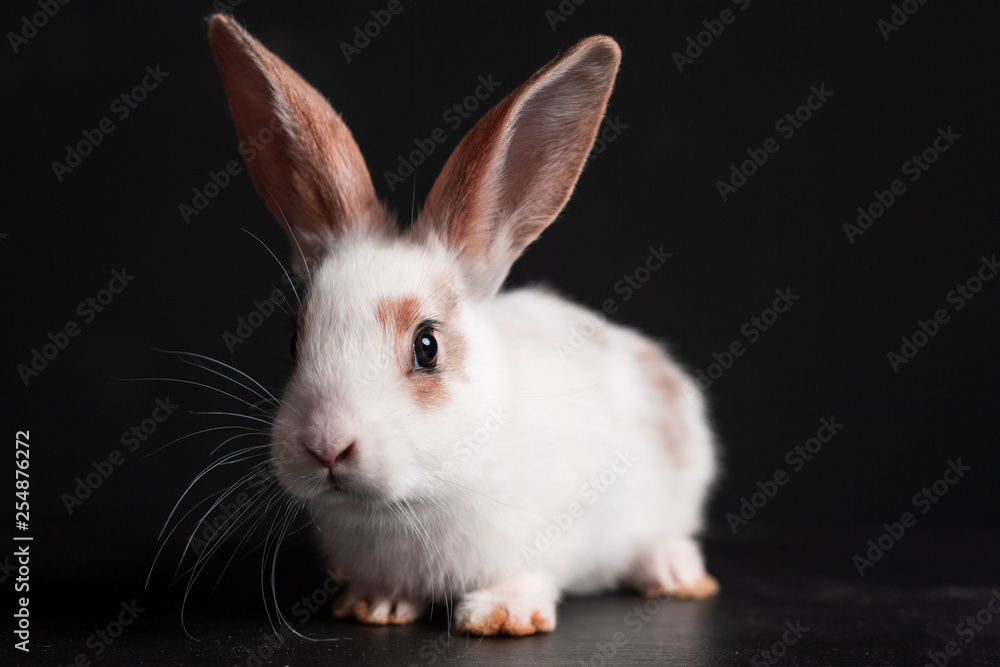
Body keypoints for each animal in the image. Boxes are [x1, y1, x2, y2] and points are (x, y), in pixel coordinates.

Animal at [206, 13, 719, 636]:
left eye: (426, 346)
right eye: (294, 340)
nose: (326, 447)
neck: (414, 499)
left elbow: (529, 574)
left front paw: (501, 616)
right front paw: (376, 608)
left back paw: (675, 574)